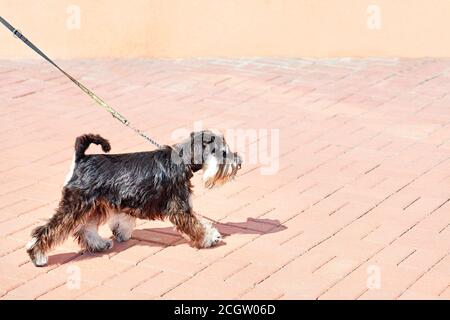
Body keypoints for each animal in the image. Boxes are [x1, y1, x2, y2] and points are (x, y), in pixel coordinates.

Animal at [25, 131, 241, 268]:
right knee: (48, 230)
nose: (239, 162)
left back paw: (99, 244)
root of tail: (82, 158)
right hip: (75, 205)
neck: (182, 160)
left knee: (86, 228)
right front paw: (210, 237)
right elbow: (195, 224)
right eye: (223, 152)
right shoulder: (179, 208)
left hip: (94, 206)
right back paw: (37, 255)